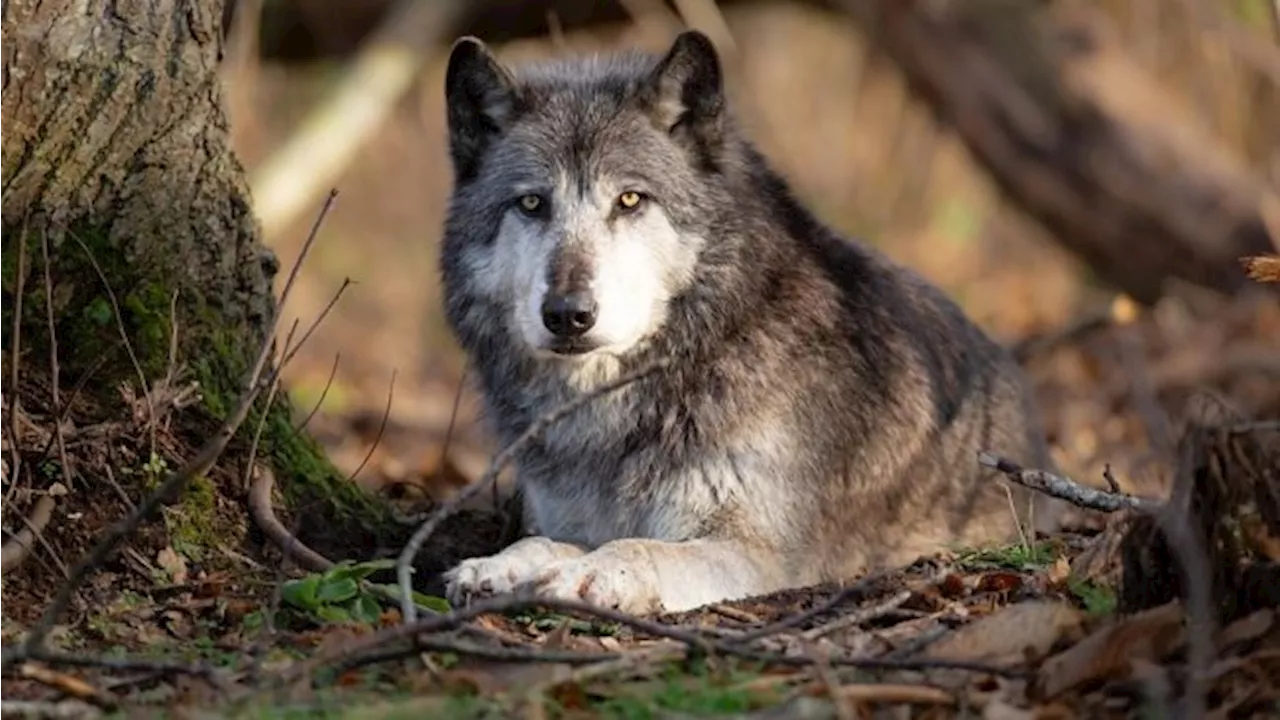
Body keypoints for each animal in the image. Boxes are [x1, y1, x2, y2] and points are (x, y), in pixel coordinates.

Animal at [435, 29, 1064, 609]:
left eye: (631, 200)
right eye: (532, 204)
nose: (568, 314)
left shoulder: (756, 552)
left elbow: (638, 546)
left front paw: (590, 574)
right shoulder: (567, 520)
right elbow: (542, 543)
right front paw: (498, 566)